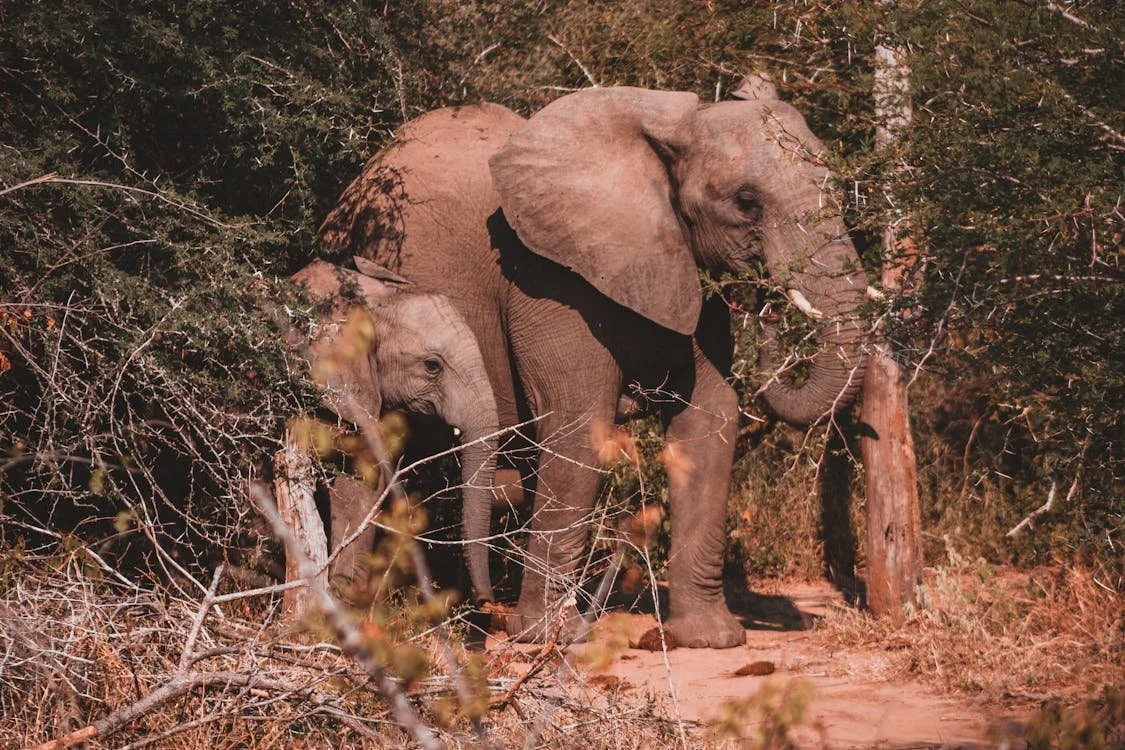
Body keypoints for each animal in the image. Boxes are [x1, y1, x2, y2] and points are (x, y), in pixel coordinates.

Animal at [319, 78, 868, 648]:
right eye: (746, 202)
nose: (769, 305)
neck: (668, 130)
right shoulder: (546, 279)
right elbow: (579, 424)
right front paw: (546, 638)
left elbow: (710, 418)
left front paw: (710, 639)